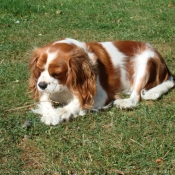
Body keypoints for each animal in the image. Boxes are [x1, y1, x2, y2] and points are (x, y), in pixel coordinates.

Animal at [28, 38, 174, 126]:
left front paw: (63, 111)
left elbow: (79, 102)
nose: (41, 85)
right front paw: (49, 114)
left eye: (57, 74)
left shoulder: (101, 95)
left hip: (146, 61)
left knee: (136, 96)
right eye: (39, 70)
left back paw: (126, 102)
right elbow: (45, 98)